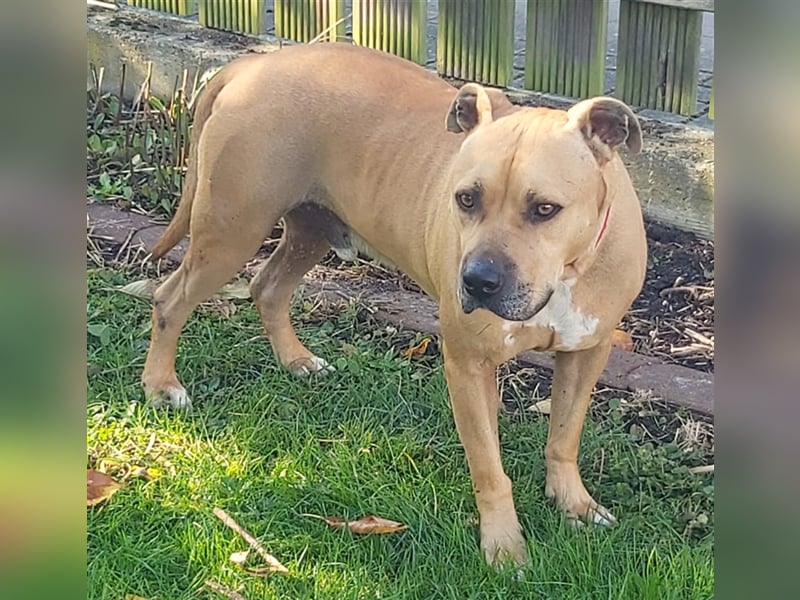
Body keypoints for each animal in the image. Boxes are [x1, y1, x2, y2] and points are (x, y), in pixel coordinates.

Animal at [141, 43, 648, 568]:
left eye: (545, 209)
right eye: (466, 199)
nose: (477, 280)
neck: (567, 271)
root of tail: (255, 64)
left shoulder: (586, 353)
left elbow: (564, 436)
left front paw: (573, 503)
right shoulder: (469, 366)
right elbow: (489, 468)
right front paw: (504, 544)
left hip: (309, 230)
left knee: (268, 288)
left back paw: (297, 360)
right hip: (231, 232)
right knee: (169, 299)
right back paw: (161, 385)